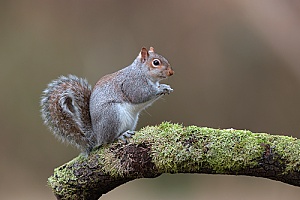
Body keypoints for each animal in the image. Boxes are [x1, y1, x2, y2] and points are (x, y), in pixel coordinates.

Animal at [41, 46, 175, 155]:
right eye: (156, 62)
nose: (171, 72)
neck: (140, 71)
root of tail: (97, 135)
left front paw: (165, 87)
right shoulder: (132, 84)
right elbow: (140, 95)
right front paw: (161, 88)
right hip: (112, 115)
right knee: (108, 140)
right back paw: (121, 135)